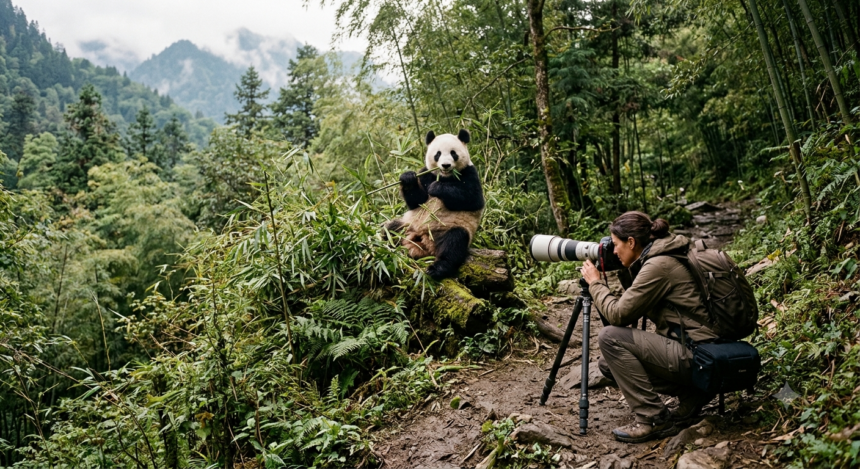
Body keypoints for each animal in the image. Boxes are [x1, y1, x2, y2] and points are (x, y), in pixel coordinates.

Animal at [384, 129, 485, 280]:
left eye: (453, 153)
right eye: (438, 154)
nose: (446, 165)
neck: (445, 177)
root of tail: (424, 242)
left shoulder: (470, 173)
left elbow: (473, 199)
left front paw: (437, 188)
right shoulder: (425, 174)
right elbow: (416, 201)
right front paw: (408, 178)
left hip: (449, 229)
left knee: (454, 243)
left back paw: (437, 269)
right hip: (408, 225)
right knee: (391, 229)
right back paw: (384, 243)